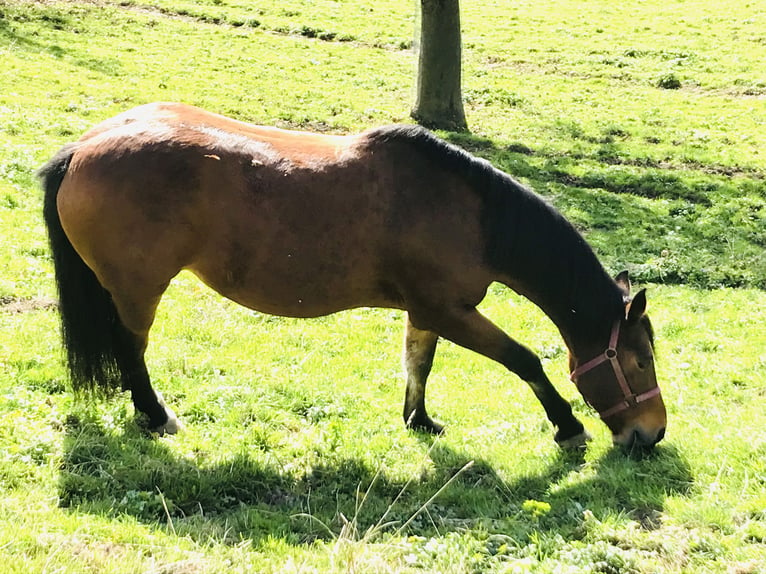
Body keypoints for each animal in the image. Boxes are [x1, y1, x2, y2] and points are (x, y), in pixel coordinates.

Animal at [40, 106, 664, 452]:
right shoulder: (451, 311)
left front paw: (419, 419)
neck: (470, 213)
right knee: (131, 351)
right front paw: (568, 427)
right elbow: (524, 359)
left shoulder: (428, 312)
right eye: (638, 362)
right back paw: (155, 414)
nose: (651, 434)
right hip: (136, 290)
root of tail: (83, 148)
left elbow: (418, 363)